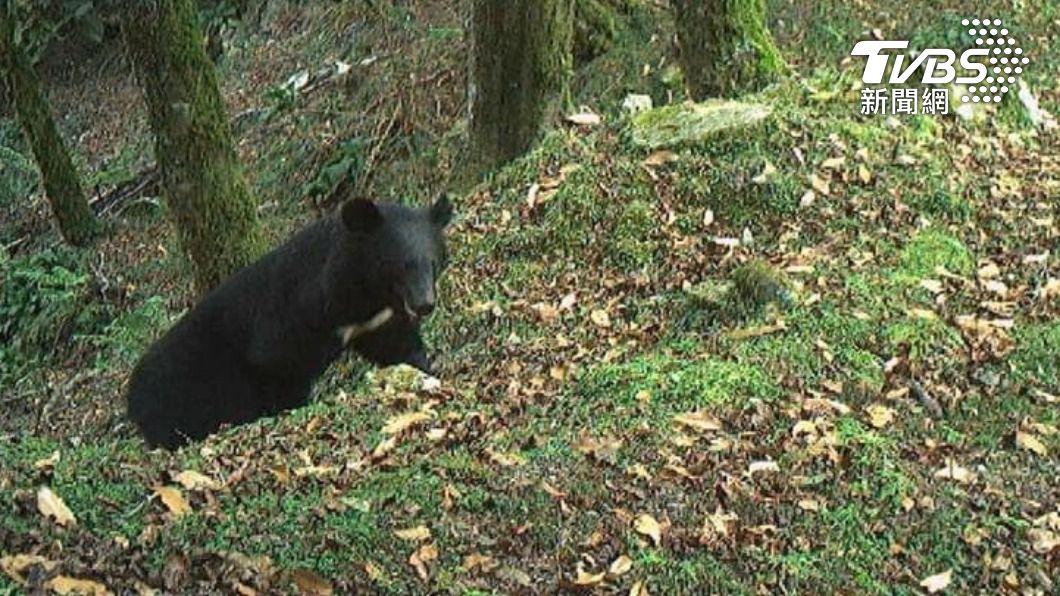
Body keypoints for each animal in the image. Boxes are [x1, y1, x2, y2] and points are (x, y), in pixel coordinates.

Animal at [125, 195, 452, 449]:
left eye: (433, 263)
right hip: (187, 395)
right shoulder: (293, 319)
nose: (424, 304)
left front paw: (425, 371)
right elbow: (279, 364)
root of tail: (131, 398)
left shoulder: (376, 320)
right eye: (401, 266)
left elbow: (397, 346)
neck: (359, 294)